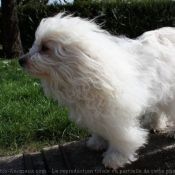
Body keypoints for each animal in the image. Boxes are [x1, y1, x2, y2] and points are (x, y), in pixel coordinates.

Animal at [18, 13, 175, 170]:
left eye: (44, 48)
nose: (20, 60)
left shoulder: (116, 115)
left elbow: (122, 137)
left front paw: (115, 157)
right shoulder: (95, 113)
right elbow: (99, 129)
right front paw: (97, 142)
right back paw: (154, 124)